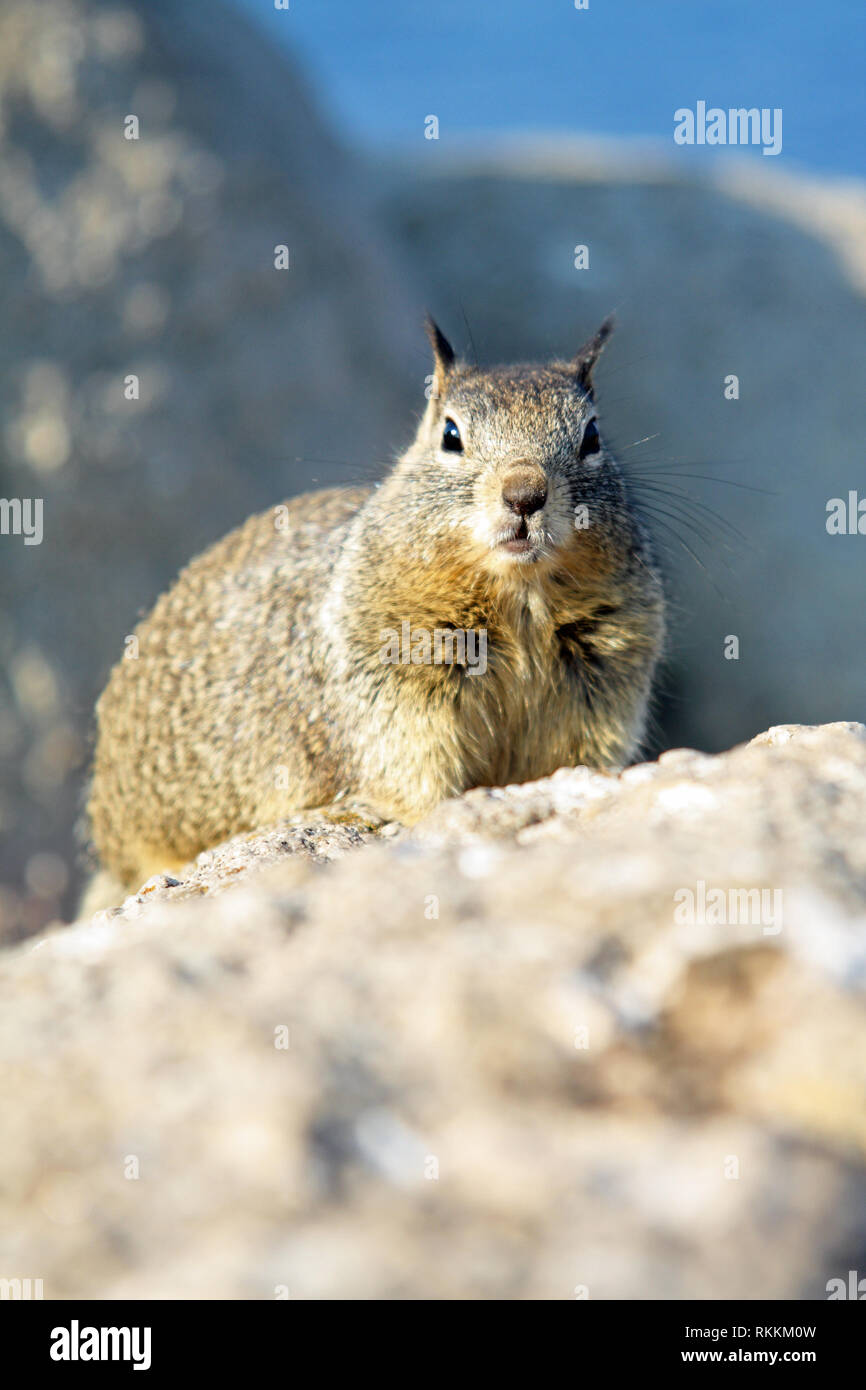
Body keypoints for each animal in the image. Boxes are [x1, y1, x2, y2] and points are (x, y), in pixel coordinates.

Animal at [83, 314, 664, 900]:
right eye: (450, 435)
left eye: (592, 435)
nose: (525, 494)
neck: (519, 599)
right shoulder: (396, 683)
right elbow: (412, 771)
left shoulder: (605, 678)